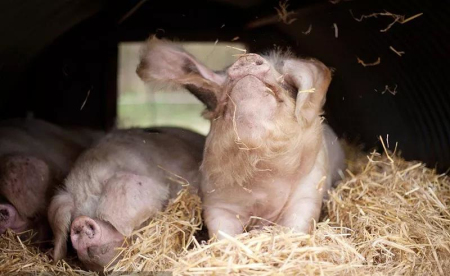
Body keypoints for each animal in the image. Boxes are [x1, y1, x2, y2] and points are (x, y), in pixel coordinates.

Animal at [135, 36, 346, 239]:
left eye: (287, 85)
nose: (246, 57)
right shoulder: (217, 204)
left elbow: (296, 228)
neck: (262, 189)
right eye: (222, 87)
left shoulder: (307, 194)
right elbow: (223, 234)